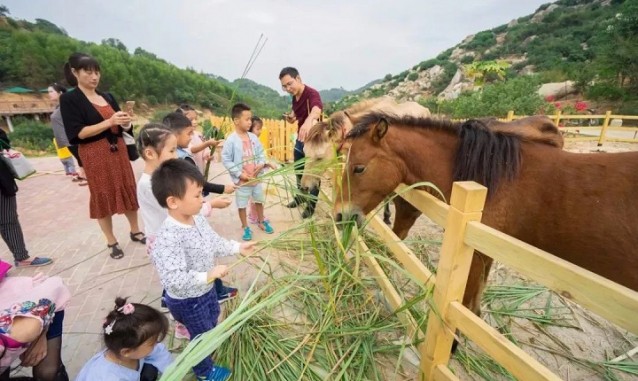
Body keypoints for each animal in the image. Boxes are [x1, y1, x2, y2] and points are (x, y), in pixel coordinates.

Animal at [336, 113, 638, 318]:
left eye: (359, 168)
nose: (339, 215)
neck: (493, 178)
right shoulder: (489, 250)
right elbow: (475, 300)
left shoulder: (476, 253)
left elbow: (467, 302)